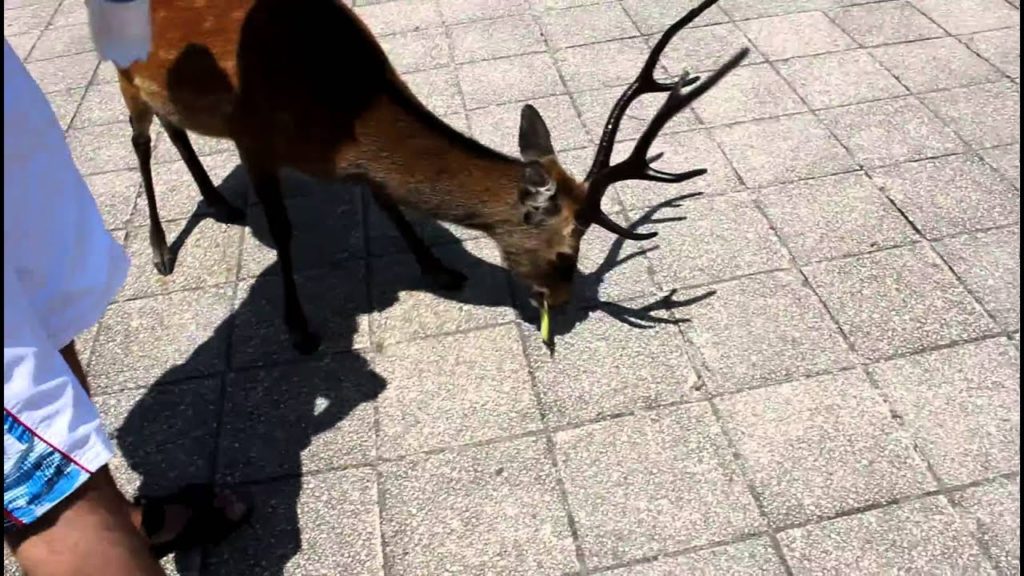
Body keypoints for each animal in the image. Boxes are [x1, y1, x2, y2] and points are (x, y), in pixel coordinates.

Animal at [115, 0, 747, 354]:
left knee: (174, 126)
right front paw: (299, 328)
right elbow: (287, 232)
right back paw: (160, 250)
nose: (563, 303)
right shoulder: (254, 138)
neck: (334, 113)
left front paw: (439, 267)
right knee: (141, 141)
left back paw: (218, 201)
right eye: (567, 253)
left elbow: (389, 201)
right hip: (122, 71)